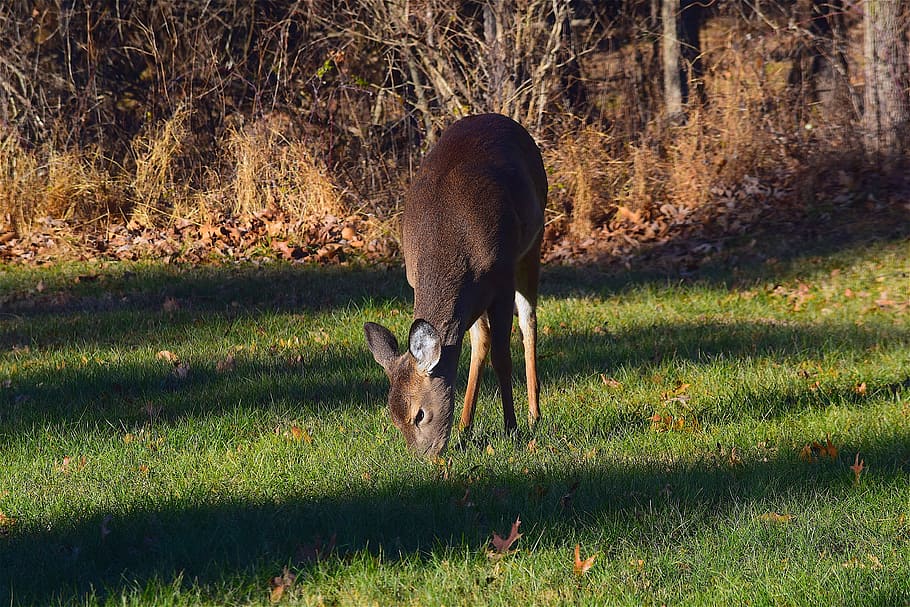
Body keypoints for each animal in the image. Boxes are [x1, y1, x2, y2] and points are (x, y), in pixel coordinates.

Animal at [364, 113, 546, 458]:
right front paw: (467, 426)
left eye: (419, 414)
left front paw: (511, 427)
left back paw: (534, 414)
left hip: (534, 241)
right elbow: (479, 345)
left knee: (529, 321)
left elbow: (503, 357)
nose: (424, 457)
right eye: (393, 418)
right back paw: (464, 423)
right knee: (481, 340)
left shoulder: (501, 278)